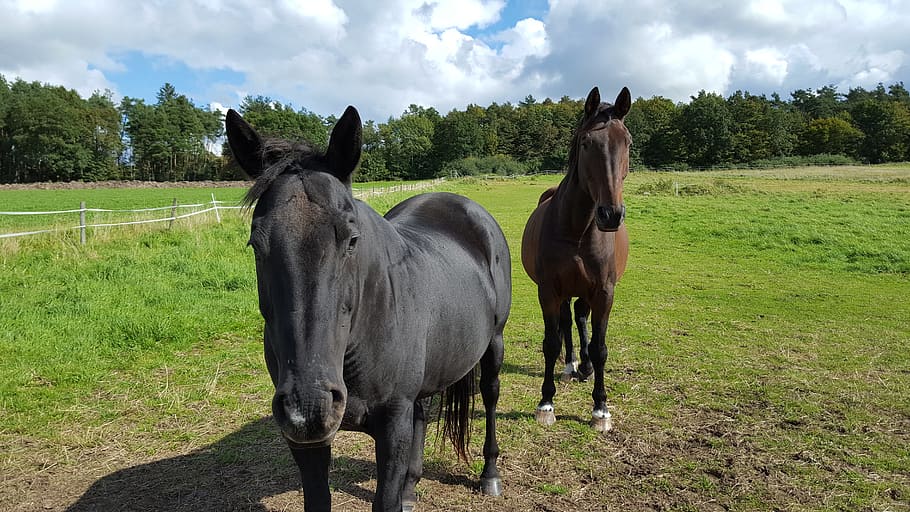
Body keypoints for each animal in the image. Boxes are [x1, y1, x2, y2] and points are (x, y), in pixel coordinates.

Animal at [225, 106, 511, 512]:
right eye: (256, 244)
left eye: (352, 239)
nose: (309, 405)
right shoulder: (304, 440)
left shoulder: (392, 424)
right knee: (423, 410)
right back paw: (411, 488)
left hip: (494, 343)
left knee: (489, 394)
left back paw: (489, 474)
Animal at [520, 86, 632, 433]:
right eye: (586, 143)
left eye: (627, 142)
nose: (610, 215)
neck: (579, 229)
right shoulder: (549, 291)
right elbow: (551, 342)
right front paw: (545, 403)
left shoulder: (604, 291)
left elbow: (599, 347)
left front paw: (601, 409)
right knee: (568, 322)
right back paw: (571, 366)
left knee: (580, 318)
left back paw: (583, 367)